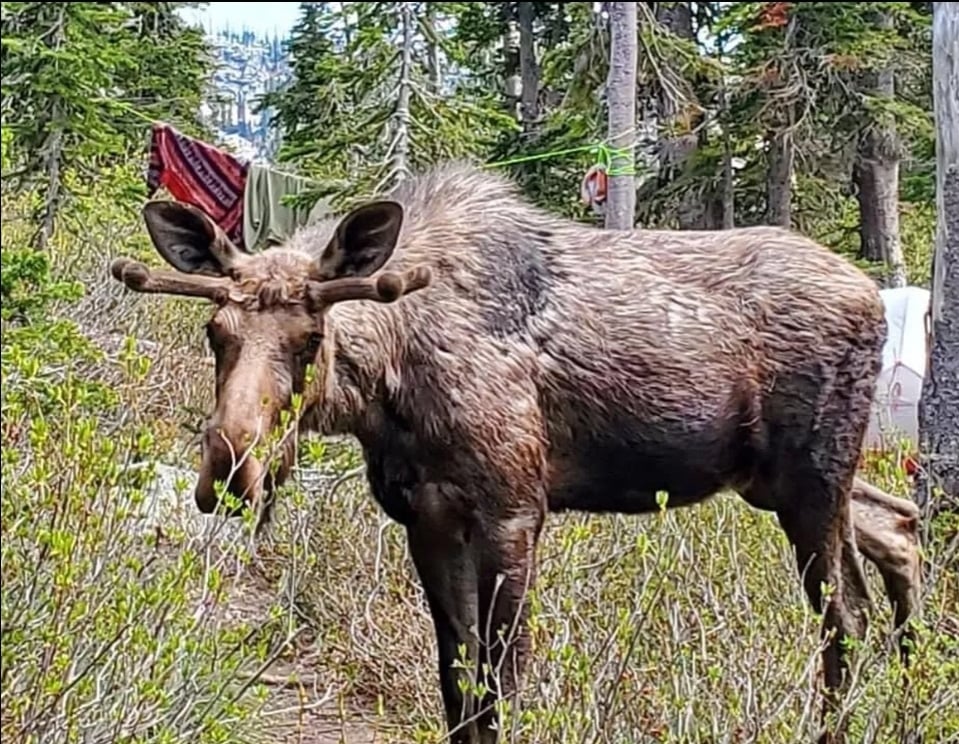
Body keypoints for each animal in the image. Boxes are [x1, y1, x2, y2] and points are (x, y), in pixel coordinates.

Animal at [110, 160, 921, 744]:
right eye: (215, 332)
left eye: (311, 338)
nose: (230, 468)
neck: (387, 387)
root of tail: (874, 298)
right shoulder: (427, 517)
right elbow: (456, 677)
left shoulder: (513, 510)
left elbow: (501, 679)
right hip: (786, 482)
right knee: (899, 530)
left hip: (810, 480)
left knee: (846, 620)